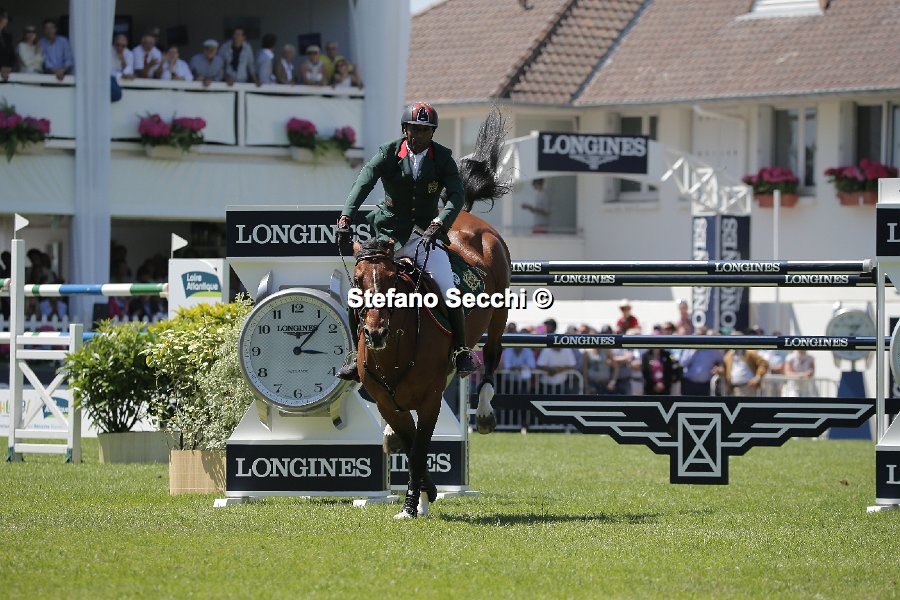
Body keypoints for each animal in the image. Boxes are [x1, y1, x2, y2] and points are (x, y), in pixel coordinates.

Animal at [350, 109, 511, 519]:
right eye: (358, 280)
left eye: (394, 279)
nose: (375, 334)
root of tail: (466, 218)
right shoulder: (388, 402)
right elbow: (411, 447)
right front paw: (422, 496)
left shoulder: (430, 400)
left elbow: (421, 449)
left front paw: (412, 503)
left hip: (499, 316)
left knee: (491, 358)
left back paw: (485, 412)